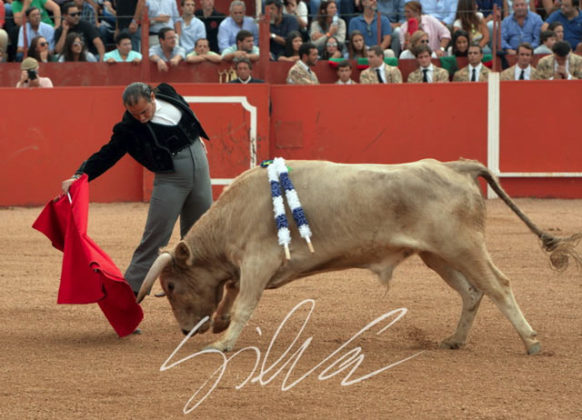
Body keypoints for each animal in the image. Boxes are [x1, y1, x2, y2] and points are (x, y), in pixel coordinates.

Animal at [138, 160, 582, 354]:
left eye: (172, 285)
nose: (186, 331)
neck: (235, 211)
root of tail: (456, 167)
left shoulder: (259, 262)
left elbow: (245, 301)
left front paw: (224, 342)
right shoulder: (245, 266)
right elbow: (230, 292)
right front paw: (220, 324)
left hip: (463, 247)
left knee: (498, 285)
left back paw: (532, 342)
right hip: (437, 255)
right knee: (473, 292)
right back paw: (455, 340)